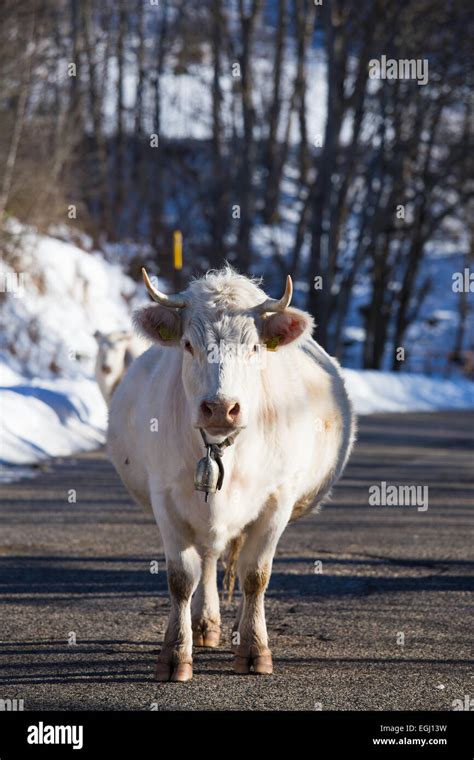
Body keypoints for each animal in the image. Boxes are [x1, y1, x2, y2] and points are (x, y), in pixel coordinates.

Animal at [106, 268, 352, 684]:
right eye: (188, 345)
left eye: (254, 348)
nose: (221, 408)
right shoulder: (166, 498)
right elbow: (181, 578)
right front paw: (176, 654)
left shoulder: (278, 500)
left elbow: (256, 575)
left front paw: (254, 649)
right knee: (208, 557)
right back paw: (205, 625)